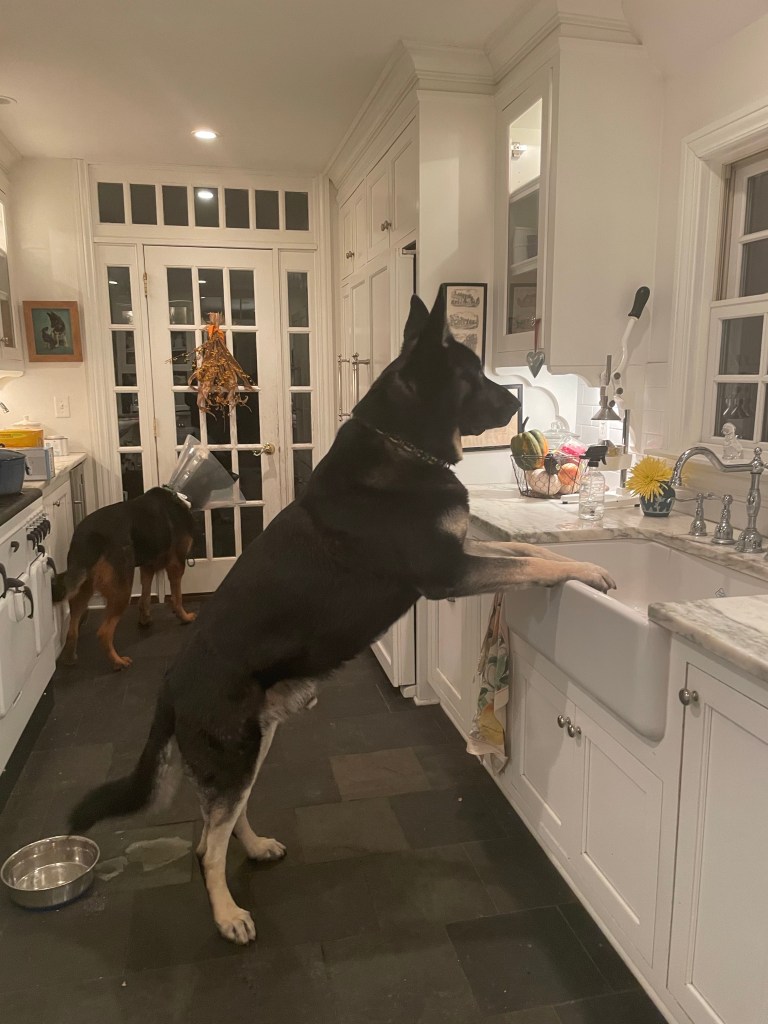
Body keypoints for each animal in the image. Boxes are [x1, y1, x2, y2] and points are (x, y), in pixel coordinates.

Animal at [53, 487, 198, 670]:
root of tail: (90, 537)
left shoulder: (147, 567)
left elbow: (145, 597)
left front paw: (145, 619)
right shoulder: (176, 565)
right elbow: (177, 598)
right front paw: (185, 617)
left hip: (83, 589)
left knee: (72, 629)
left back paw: (70, 658)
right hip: (122, 590)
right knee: (104, 632)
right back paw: (118, 662)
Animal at [69, 290, 616, 944]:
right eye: (471, 374)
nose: (517, 403)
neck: (403, 443)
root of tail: (169, 688)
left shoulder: (463, 555)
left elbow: (526, 552)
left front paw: (581, 562)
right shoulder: (448, 573)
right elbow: (527, 564)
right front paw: (587, 572)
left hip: (253, 746)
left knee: (223, 820)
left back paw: (256, 847)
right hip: (234, 754)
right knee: (204, 845)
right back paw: (228, 915)